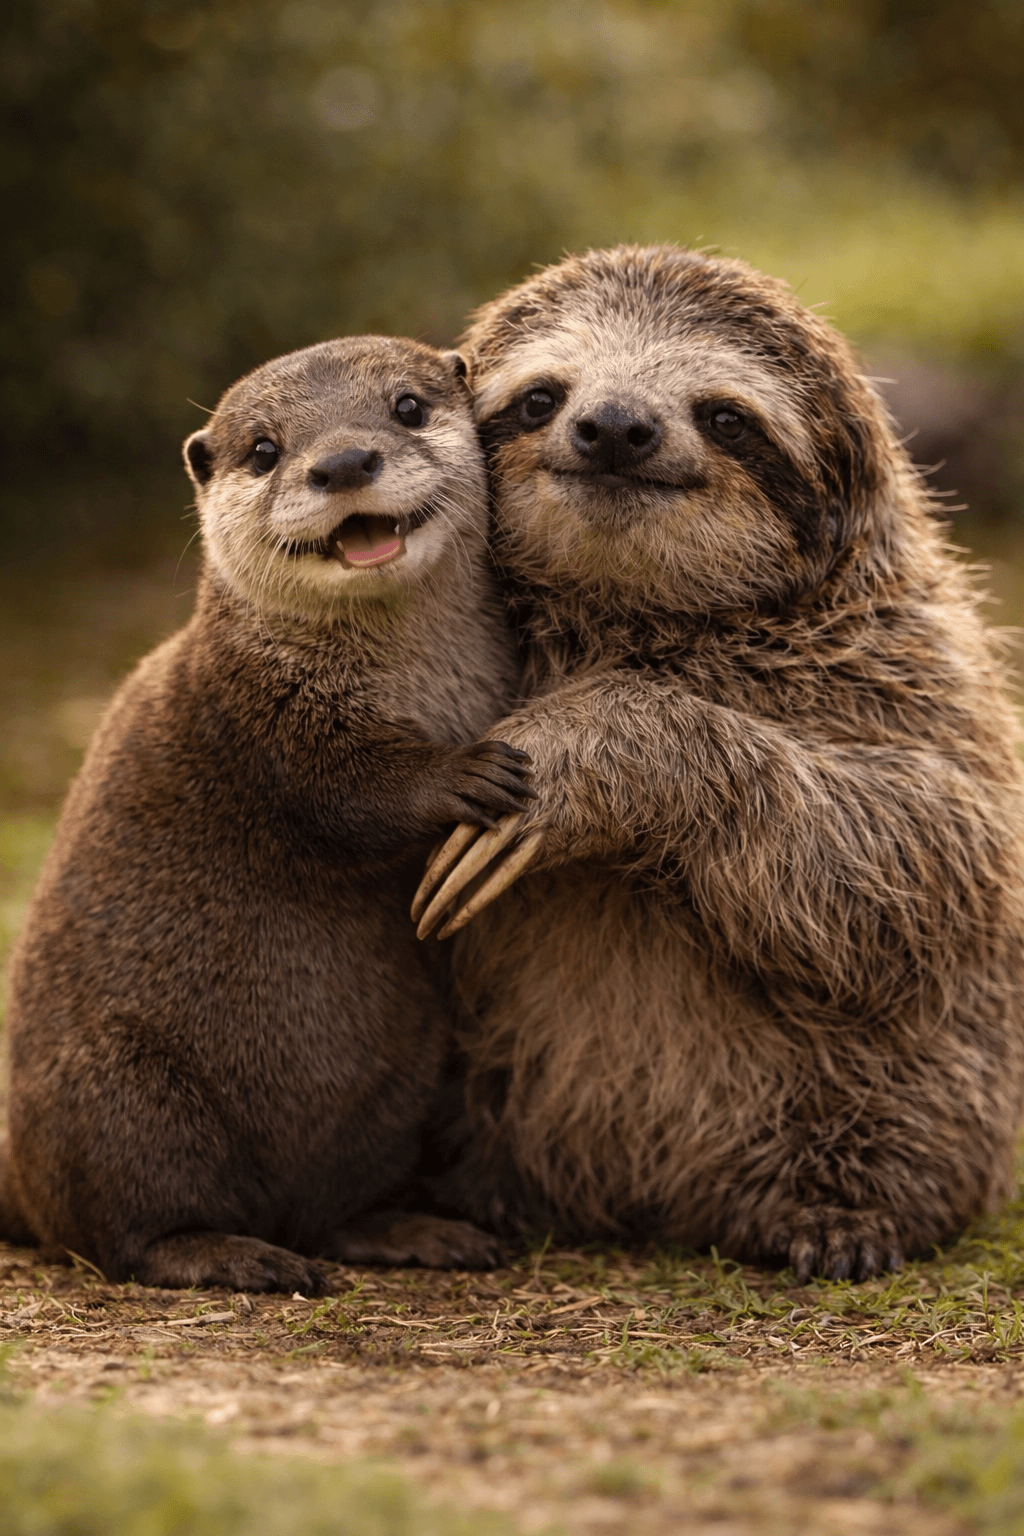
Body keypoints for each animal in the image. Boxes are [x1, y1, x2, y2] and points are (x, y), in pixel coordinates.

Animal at [0, 335, 533, 1294]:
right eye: (263, 450)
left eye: (406, 407)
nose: (345, 461)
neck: (427, 687)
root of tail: (18, 1172)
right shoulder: (260, 713)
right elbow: (345, 794)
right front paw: (463, 774)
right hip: (122, 1099)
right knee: (122, 1234)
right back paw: (231, 1253)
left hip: (393, 1094)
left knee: (328, 1211)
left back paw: (411, 1231)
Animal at [414, 245, 1024, 1282]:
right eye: (541, 398)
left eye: (725, 416)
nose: (616, 428)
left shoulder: (912, 656)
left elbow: (940, 853)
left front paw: (591, 757)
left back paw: (842, 1214)